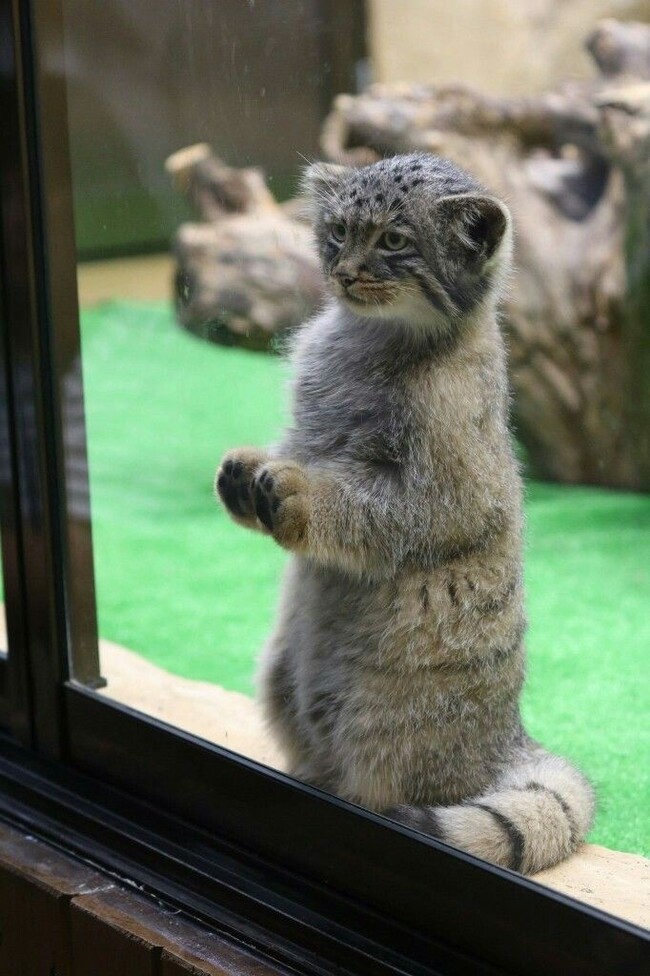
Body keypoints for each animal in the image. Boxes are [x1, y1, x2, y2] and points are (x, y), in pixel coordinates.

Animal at [216, 154, 592, 876]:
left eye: (393, 241)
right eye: (338, 231)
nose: (344, 270)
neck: (367, 338)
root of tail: (511, 740)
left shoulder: (437, 495)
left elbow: (361, 511)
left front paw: (296, 495)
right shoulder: (306, 429)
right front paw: (247, 480)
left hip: (378, 724)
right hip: (279, 677)